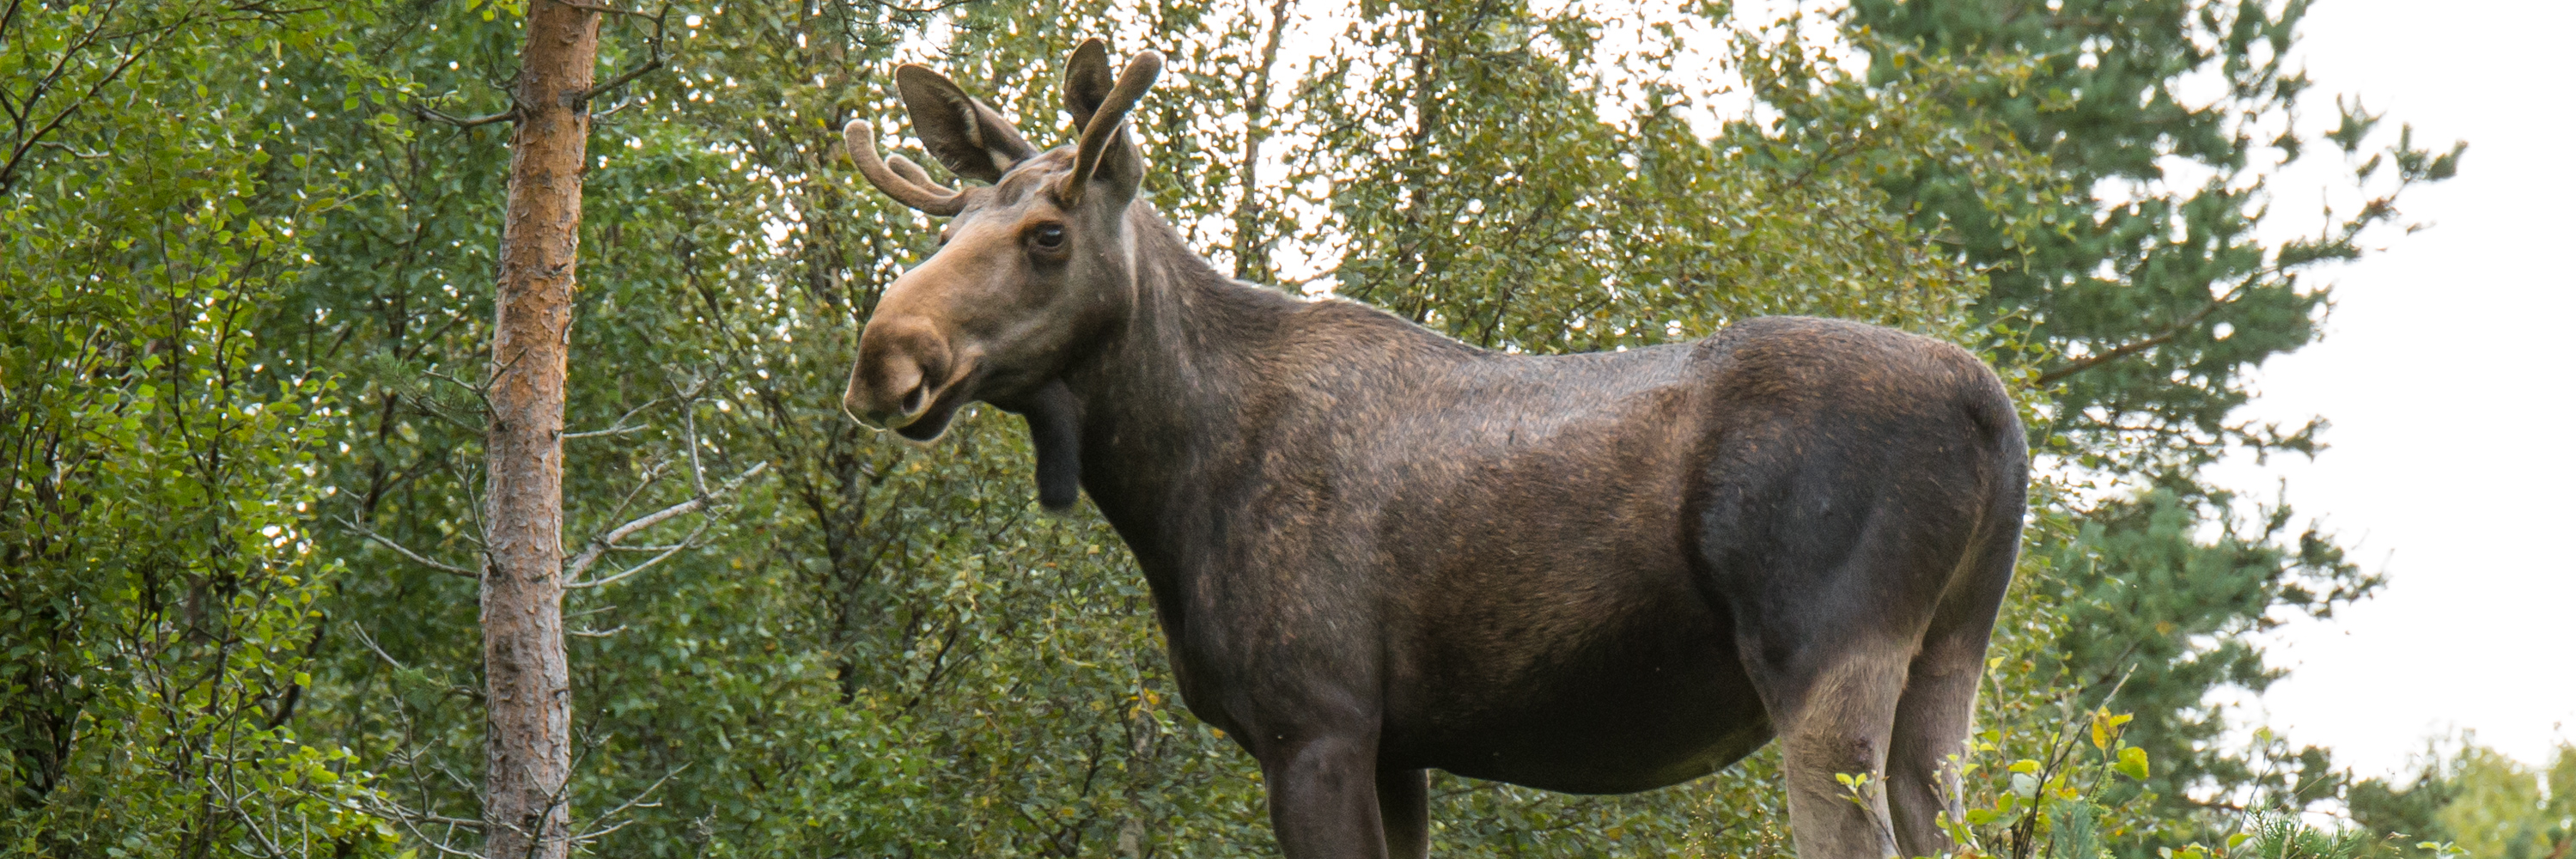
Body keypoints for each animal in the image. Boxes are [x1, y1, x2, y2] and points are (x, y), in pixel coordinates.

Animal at [844, 38, 2030, 856]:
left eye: (1046, 235)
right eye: (946, 226)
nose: (883, 357)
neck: (1169, 485)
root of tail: (1994, 411)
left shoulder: (1314, 717)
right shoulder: (1399, 744)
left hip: (1822, 656)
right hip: (1945, 666)